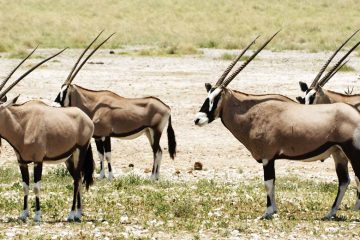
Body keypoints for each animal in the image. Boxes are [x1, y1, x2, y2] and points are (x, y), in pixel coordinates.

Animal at [0, 47, 95, 222]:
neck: (22, 123)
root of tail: (86, 118)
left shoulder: (38, 160)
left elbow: (36, 186)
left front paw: (37, 215)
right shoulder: (21, 161)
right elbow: (25, 185)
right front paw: (23, 214)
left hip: (81, 150)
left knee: (77, 179)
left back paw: (71, 214)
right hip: (69, 158)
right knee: (77, 178)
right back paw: (78, 213)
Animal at [54, 31, 176, 180]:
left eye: (64, 91)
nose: (55, 104)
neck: (94, 105)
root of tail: (167, 107)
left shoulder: (106, 135)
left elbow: (108, 155)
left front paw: (111, 176)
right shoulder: (98, 136)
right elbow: (100, 154)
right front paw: (101, 175)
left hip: (156, 131)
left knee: (156, 151)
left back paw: (152, 177)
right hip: (148, 132)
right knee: (159, 151)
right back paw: (156, 176)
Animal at [195, 31, 360, 219]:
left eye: (215, 98)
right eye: (207, 95)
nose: (198, 119)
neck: (253, 113)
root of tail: (355, 112)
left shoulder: (267, 156)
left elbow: (268, 182)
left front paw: (268, 212)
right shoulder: (271, 158)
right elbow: (272, 182)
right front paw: (273, 210)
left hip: (352, 152)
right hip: (339, 154)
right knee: (344, 180)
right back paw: (330, 213)